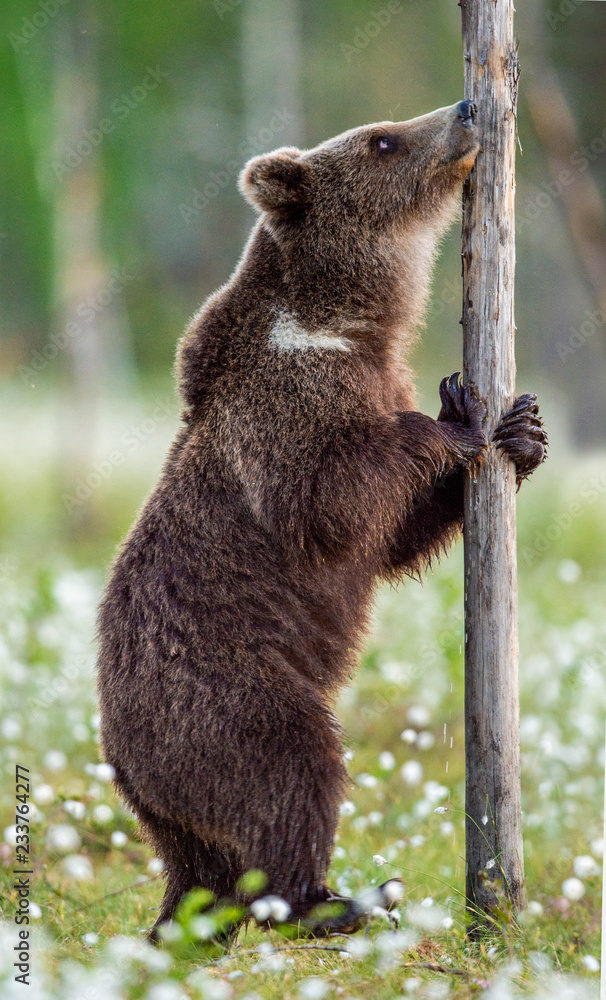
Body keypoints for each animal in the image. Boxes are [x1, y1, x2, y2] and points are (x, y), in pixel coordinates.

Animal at [96, 100, 547, 941]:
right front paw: (452, 418)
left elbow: (392, 537)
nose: (466, 107)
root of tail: (132, 777)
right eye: (382, 139)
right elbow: (335, 505)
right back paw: (338, 900)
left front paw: (521, 430)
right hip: (226, 697)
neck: (346, 323)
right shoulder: (291, 409)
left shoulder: (371, 372)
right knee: (292, 770)